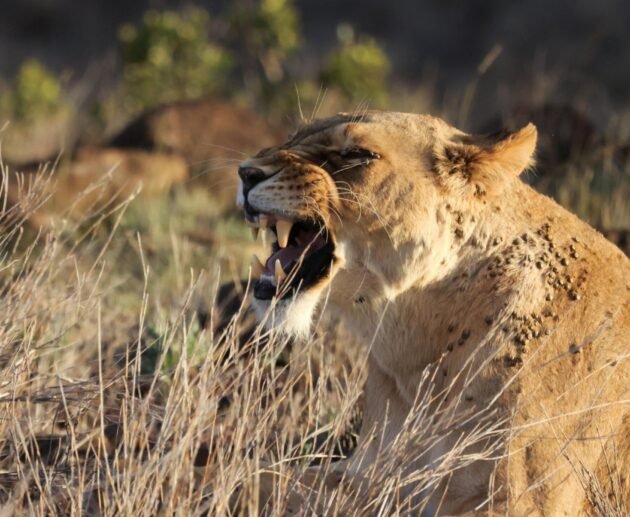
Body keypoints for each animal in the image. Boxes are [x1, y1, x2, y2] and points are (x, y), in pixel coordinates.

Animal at [235, 110, 628, 512]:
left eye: (357, 153)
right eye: (292, 137)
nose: (246, 173)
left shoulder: (523, 503)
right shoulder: (370, 470)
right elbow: (256, 475)